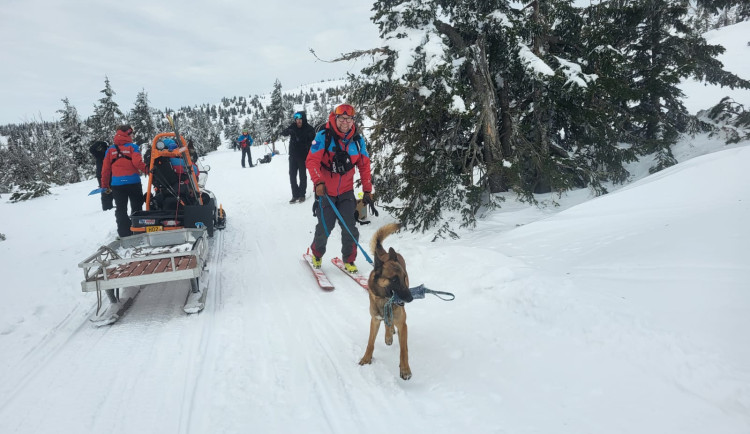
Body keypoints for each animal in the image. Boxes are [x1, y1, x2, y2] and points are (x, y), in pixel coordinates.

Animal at [360, 224, 418, 380]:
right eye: (394, 280)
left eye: (403, 278)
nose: (411, 298)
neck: (385, 300)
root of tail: (386, 254)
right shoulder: (374, 320)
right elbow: (370, 342)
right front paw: (366, 358)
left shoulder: (403, 325)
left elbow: (404, 350)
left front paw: (405, 369)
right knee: (387, 323)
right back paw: (388, 334)